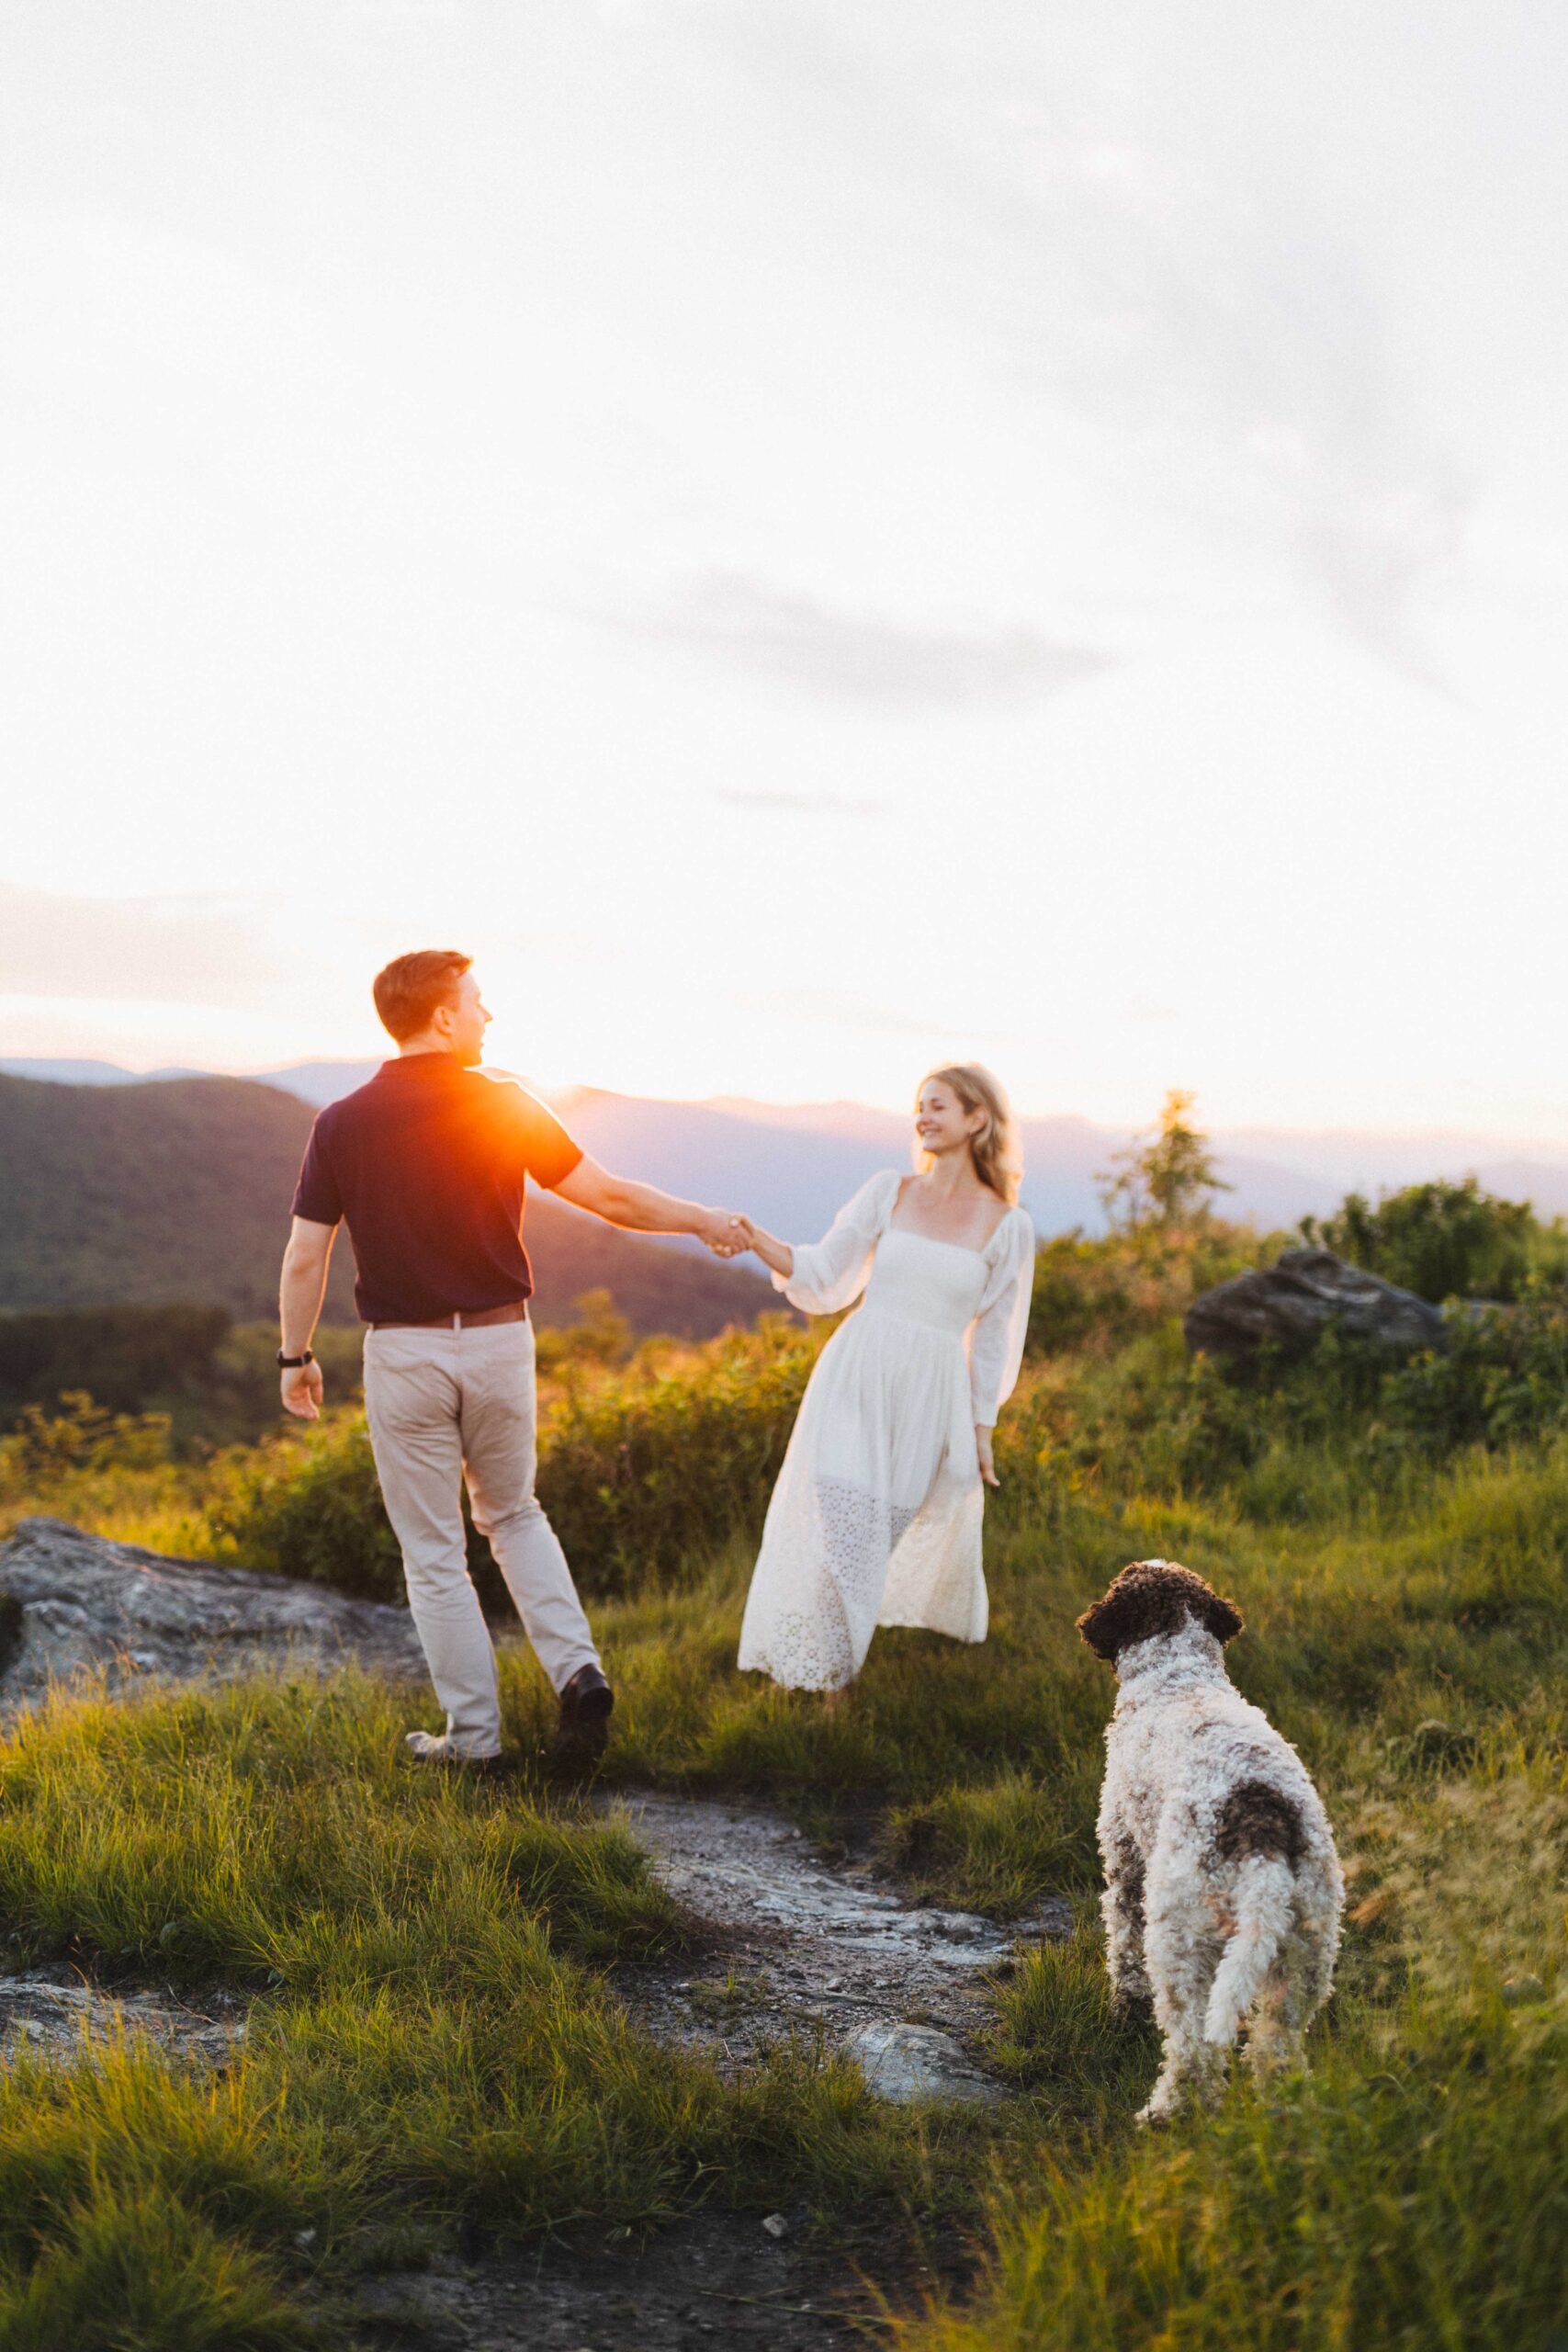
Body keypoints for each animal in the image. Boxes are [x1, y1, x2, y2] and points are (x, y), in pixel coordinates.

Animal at [1081, 1552, 1354, 2126]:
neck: (1179, 1674)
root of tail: (1261, 1839)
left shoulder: (1123, 1856)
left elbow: (1123, 1950)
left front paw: (1123, 2012)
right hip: (1306, 1951)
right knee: (1277, 2050)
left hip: (1182, 1937)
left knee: (1193, 2051)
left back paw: (1166, 2115)